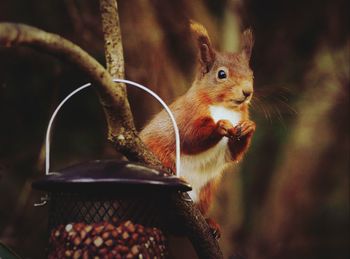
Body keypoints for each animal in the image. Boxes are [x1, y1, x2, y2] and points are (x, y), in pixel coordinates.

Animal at [139, 20, 254, 236]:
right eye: (222, 74)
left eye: (252, 74)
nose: (247, 92)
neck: (225, 108)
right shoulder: (186, 115)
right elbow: (190, 137)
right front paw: (219, 126)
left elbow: (233, 154)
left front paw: (249, 127)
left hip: (206, 192)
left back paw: (210, 223)